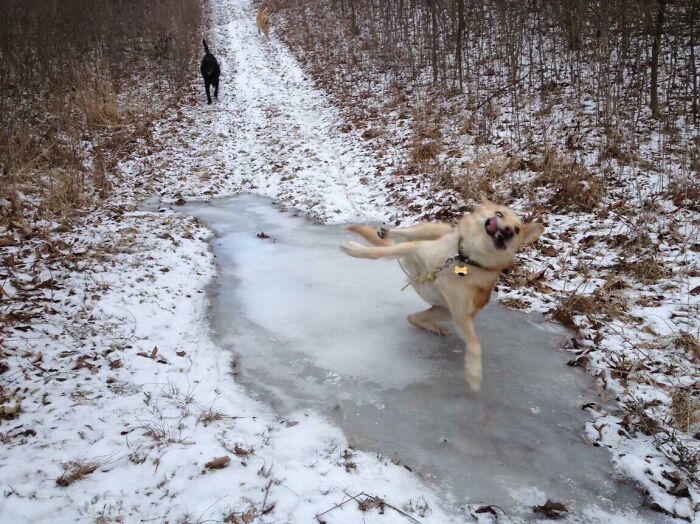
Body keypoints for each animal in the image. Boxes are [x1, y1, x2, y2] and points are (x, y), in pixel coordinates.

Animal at [342, 199, 544, 390]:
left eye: (517, 230)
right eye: (499, 214)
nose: (508, 230)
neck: (463, 260)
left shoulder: (461, 316)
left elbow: (475, 346)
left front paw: (474, 373)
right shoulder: (416, 249)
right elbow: (378, 251)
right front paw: (357, 250)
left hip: (443, 311)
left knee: (413, 317)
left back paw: (433, 327)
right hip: (428, 231)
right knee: (407, 233)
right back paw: (388, 232)